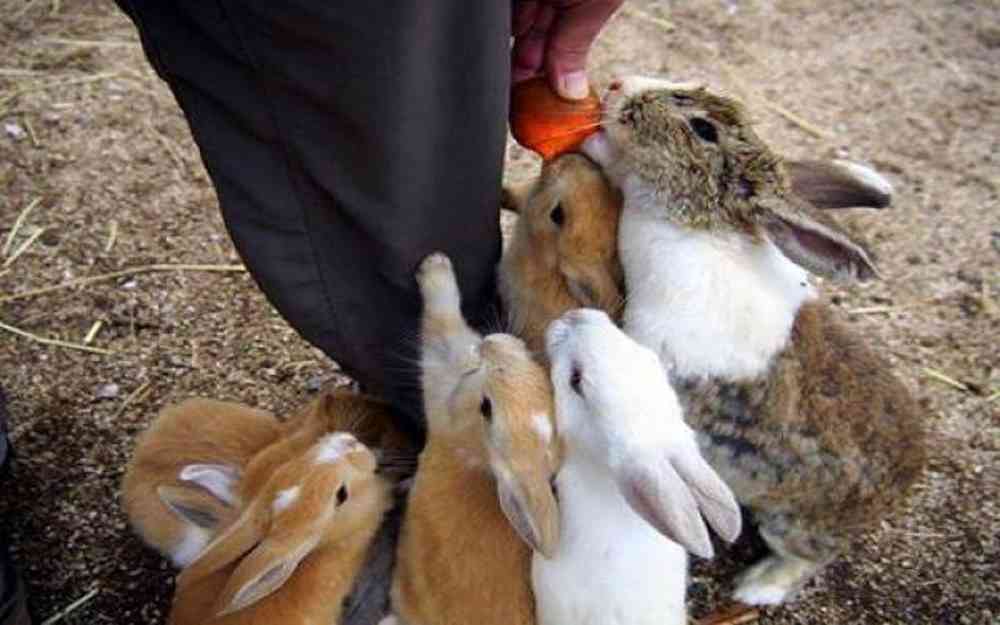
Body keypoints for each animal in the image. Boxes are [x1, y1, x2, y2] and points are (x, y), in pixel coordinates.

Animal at [390, 252, 564, 624]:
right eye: (540, 371)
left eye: (487, 408)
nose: (491, 343)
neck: (475, 446)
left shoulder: (441, 382)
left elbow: (441, 323)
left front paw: (434, 267)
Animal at [584, 74, 924, 604]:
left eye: (702, 129)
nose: (619, 84)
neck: (696, 229)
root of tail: (909, 479)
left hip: (791, 523)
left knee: (806, 558)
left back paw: (755, 588)